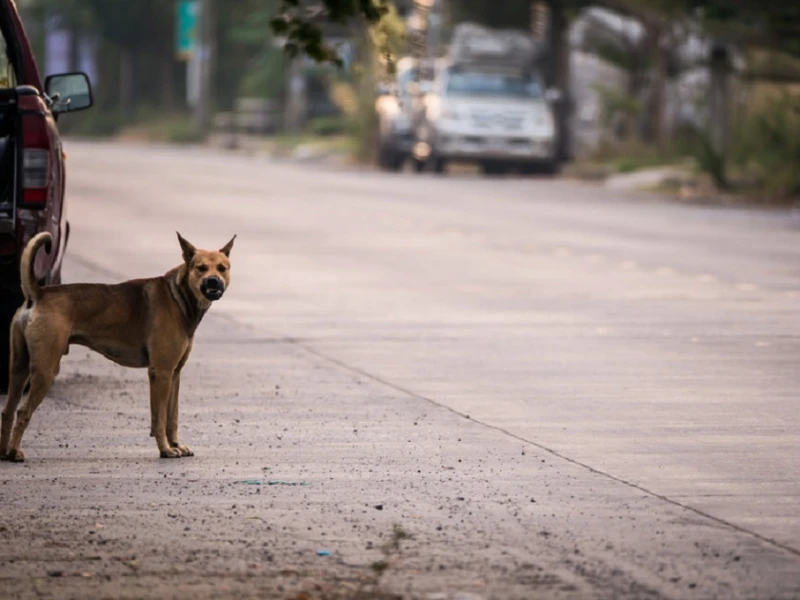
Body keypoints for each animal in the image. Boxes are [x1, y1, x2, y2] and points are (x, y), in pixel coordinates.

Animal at [0, 232, 236, 462]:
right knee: (22, 412)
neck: (178, 295)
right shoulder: (161, 373)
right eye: (201, 268)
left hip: (19, 370)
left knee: (8, 410)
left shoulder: (174, 374)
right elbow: (159, 418)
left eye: (222, 268)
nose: (213, 281)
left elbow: (172, 417)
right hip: (45, 371)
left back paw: (4, 452)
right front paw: (165, 449)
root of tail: (38, 294)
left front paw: (175, 445)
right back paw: (15, 452)